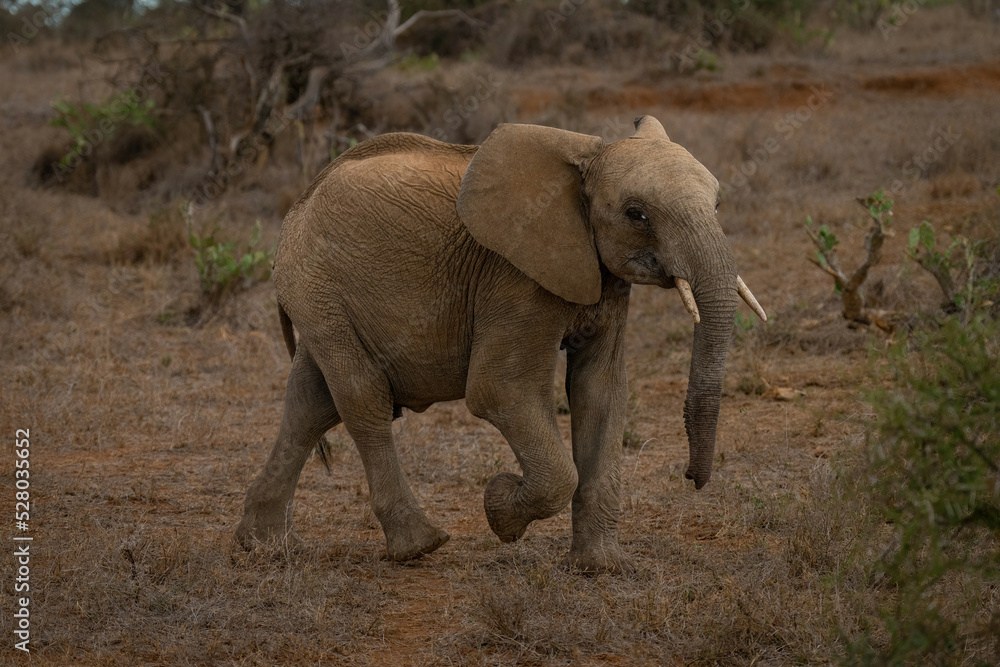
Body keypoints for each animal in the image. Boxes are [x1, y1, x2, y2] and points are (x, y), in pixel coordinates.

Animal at [234, 116, 764, 576]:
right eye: (637, 214)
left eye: (718, 205)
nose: (693, 478)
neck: (587, 156)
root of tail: (300, 202)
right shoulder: (513, 277)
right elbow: (501, 391)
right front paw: (500, 509)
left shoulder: (604, 277)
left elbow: (601, 392)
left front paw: (600, 568)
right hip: (317, 285)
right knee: (361, 398)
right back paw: (420, 546)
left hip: (320, 296)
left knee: (311, 403)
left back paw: (261, 546)